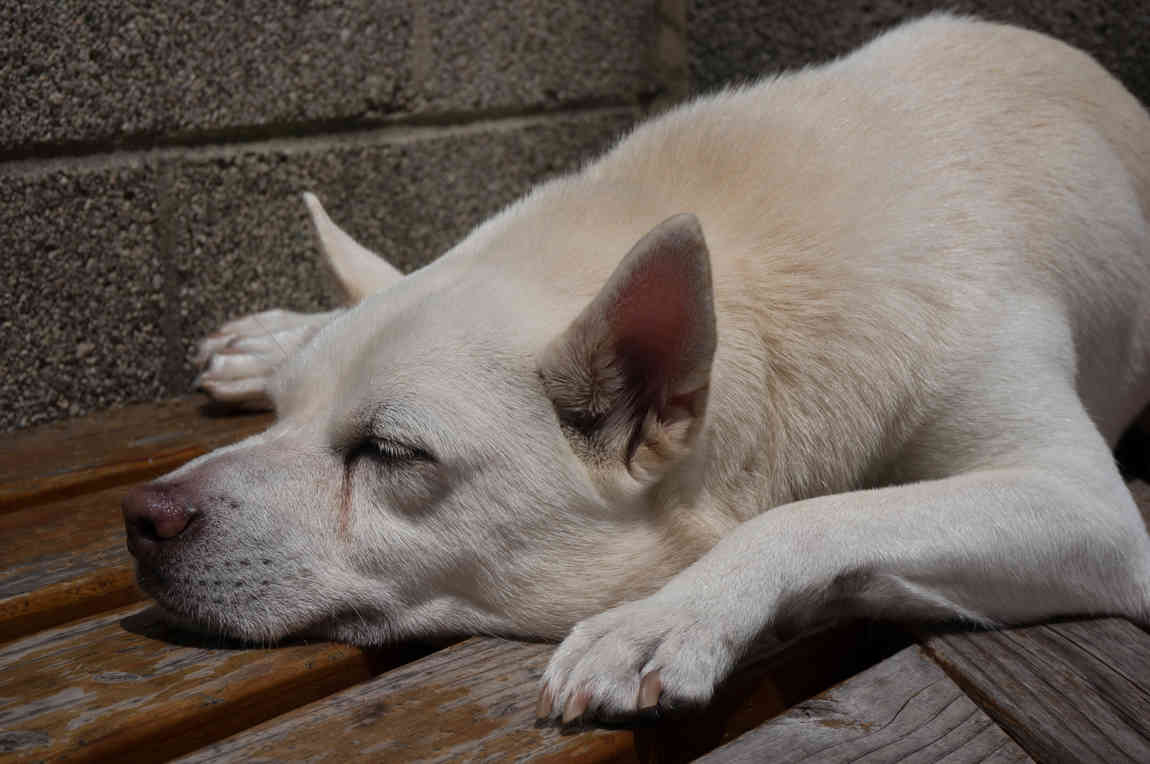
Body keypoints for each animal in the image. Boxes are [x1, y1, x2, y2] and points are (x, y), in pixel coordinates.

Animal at [123, 14, 1150, 727]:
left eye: (390, 452)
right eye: (285, 418)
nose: (140, 516)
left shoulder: (1091, 510)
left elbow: (816, 512)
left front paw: (665, 614)